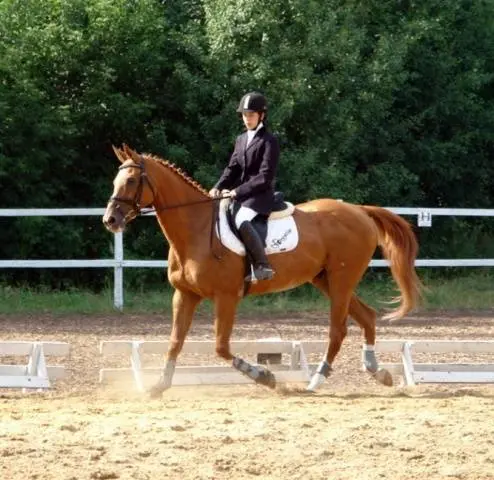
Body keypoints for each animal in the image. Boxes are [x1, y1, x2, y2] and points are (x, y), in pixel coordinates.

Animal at [103, 143, 420, 398]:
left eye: (131, 180)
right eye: (116, 180)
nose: (110, 220)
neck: (196, 230)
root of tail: (359, 210)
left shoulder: (226, 297)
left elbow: (220, 347)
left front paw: (266, 377)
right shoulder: (184, 295)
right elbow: (174, 343)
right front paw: (159, 386)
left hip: (342, 279)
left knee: (337, 330)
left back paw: (316, 381)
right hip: (326, 280)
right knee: (366, 316)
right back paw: (378, 372)